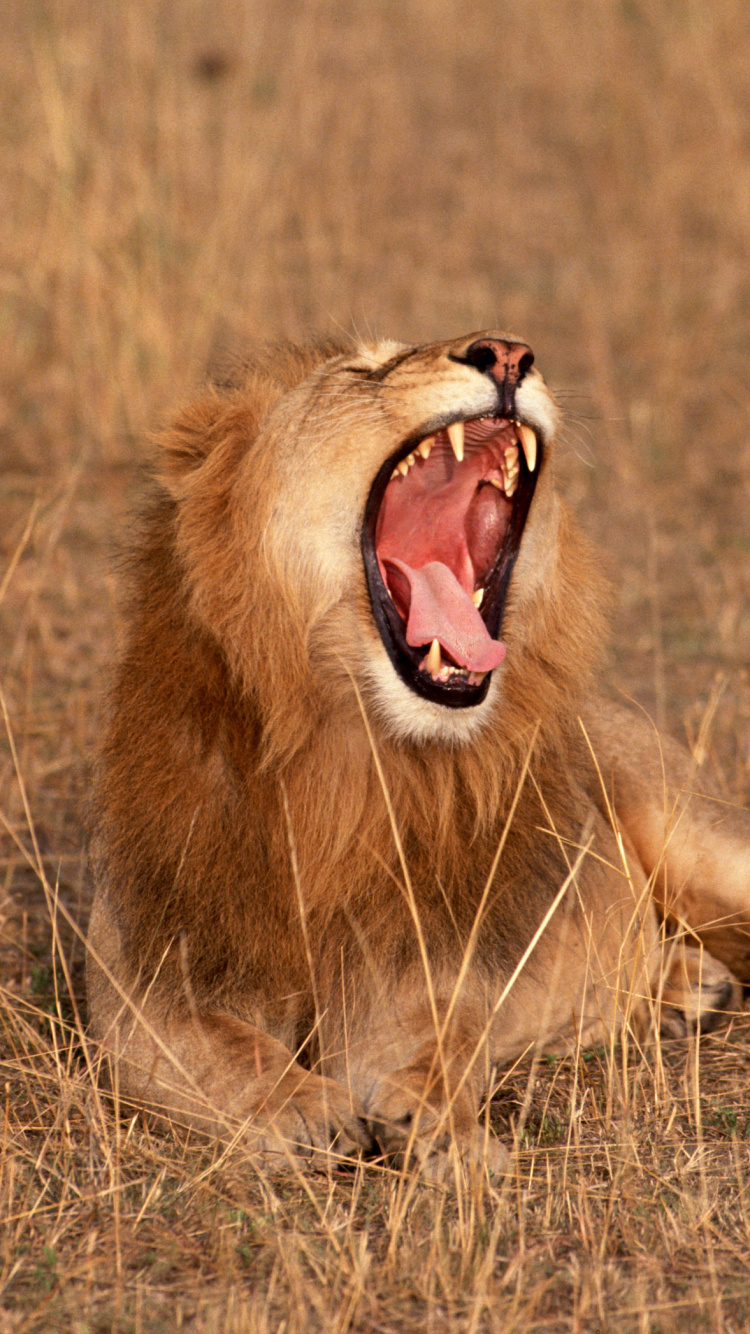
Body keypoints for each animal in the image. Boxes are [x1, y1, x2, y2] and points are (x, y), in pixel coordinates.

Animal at [87, 331, 750, 1175]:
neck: (343, 762)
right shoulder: (145, 980)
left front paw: (448, 1132)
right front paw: (300, 1107)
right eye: (364, 369)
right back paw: (684, 988)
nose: (508, 352)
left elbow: (439, 1046)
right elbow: (218, 1049)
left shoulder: (420, 965)